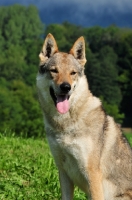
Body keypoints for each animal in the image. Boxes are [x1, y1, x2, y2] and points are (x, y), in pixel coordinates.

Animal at [36, 33, 132, 199]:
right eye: (54, 71)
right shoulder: (63, 171)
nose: (65, 87)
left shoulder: (92, 174)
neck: (65, 125)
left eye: (73, 73)